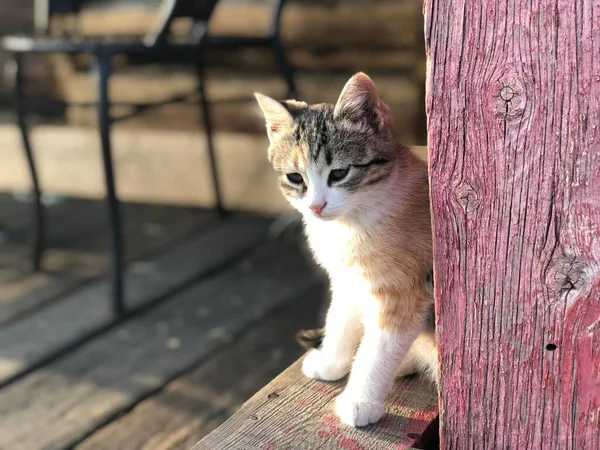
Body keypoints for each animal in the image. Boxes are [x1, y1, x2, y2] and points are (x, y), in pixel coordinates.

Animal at [255, 72, 438, 428]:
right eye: (295, 177)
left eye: (339, 173)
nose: (316, 206)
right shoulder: (348, 278)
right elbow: (339, 317)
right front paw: (331, 361)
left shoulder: (404, 291)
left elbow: (379, 348)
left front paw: (359, 400)